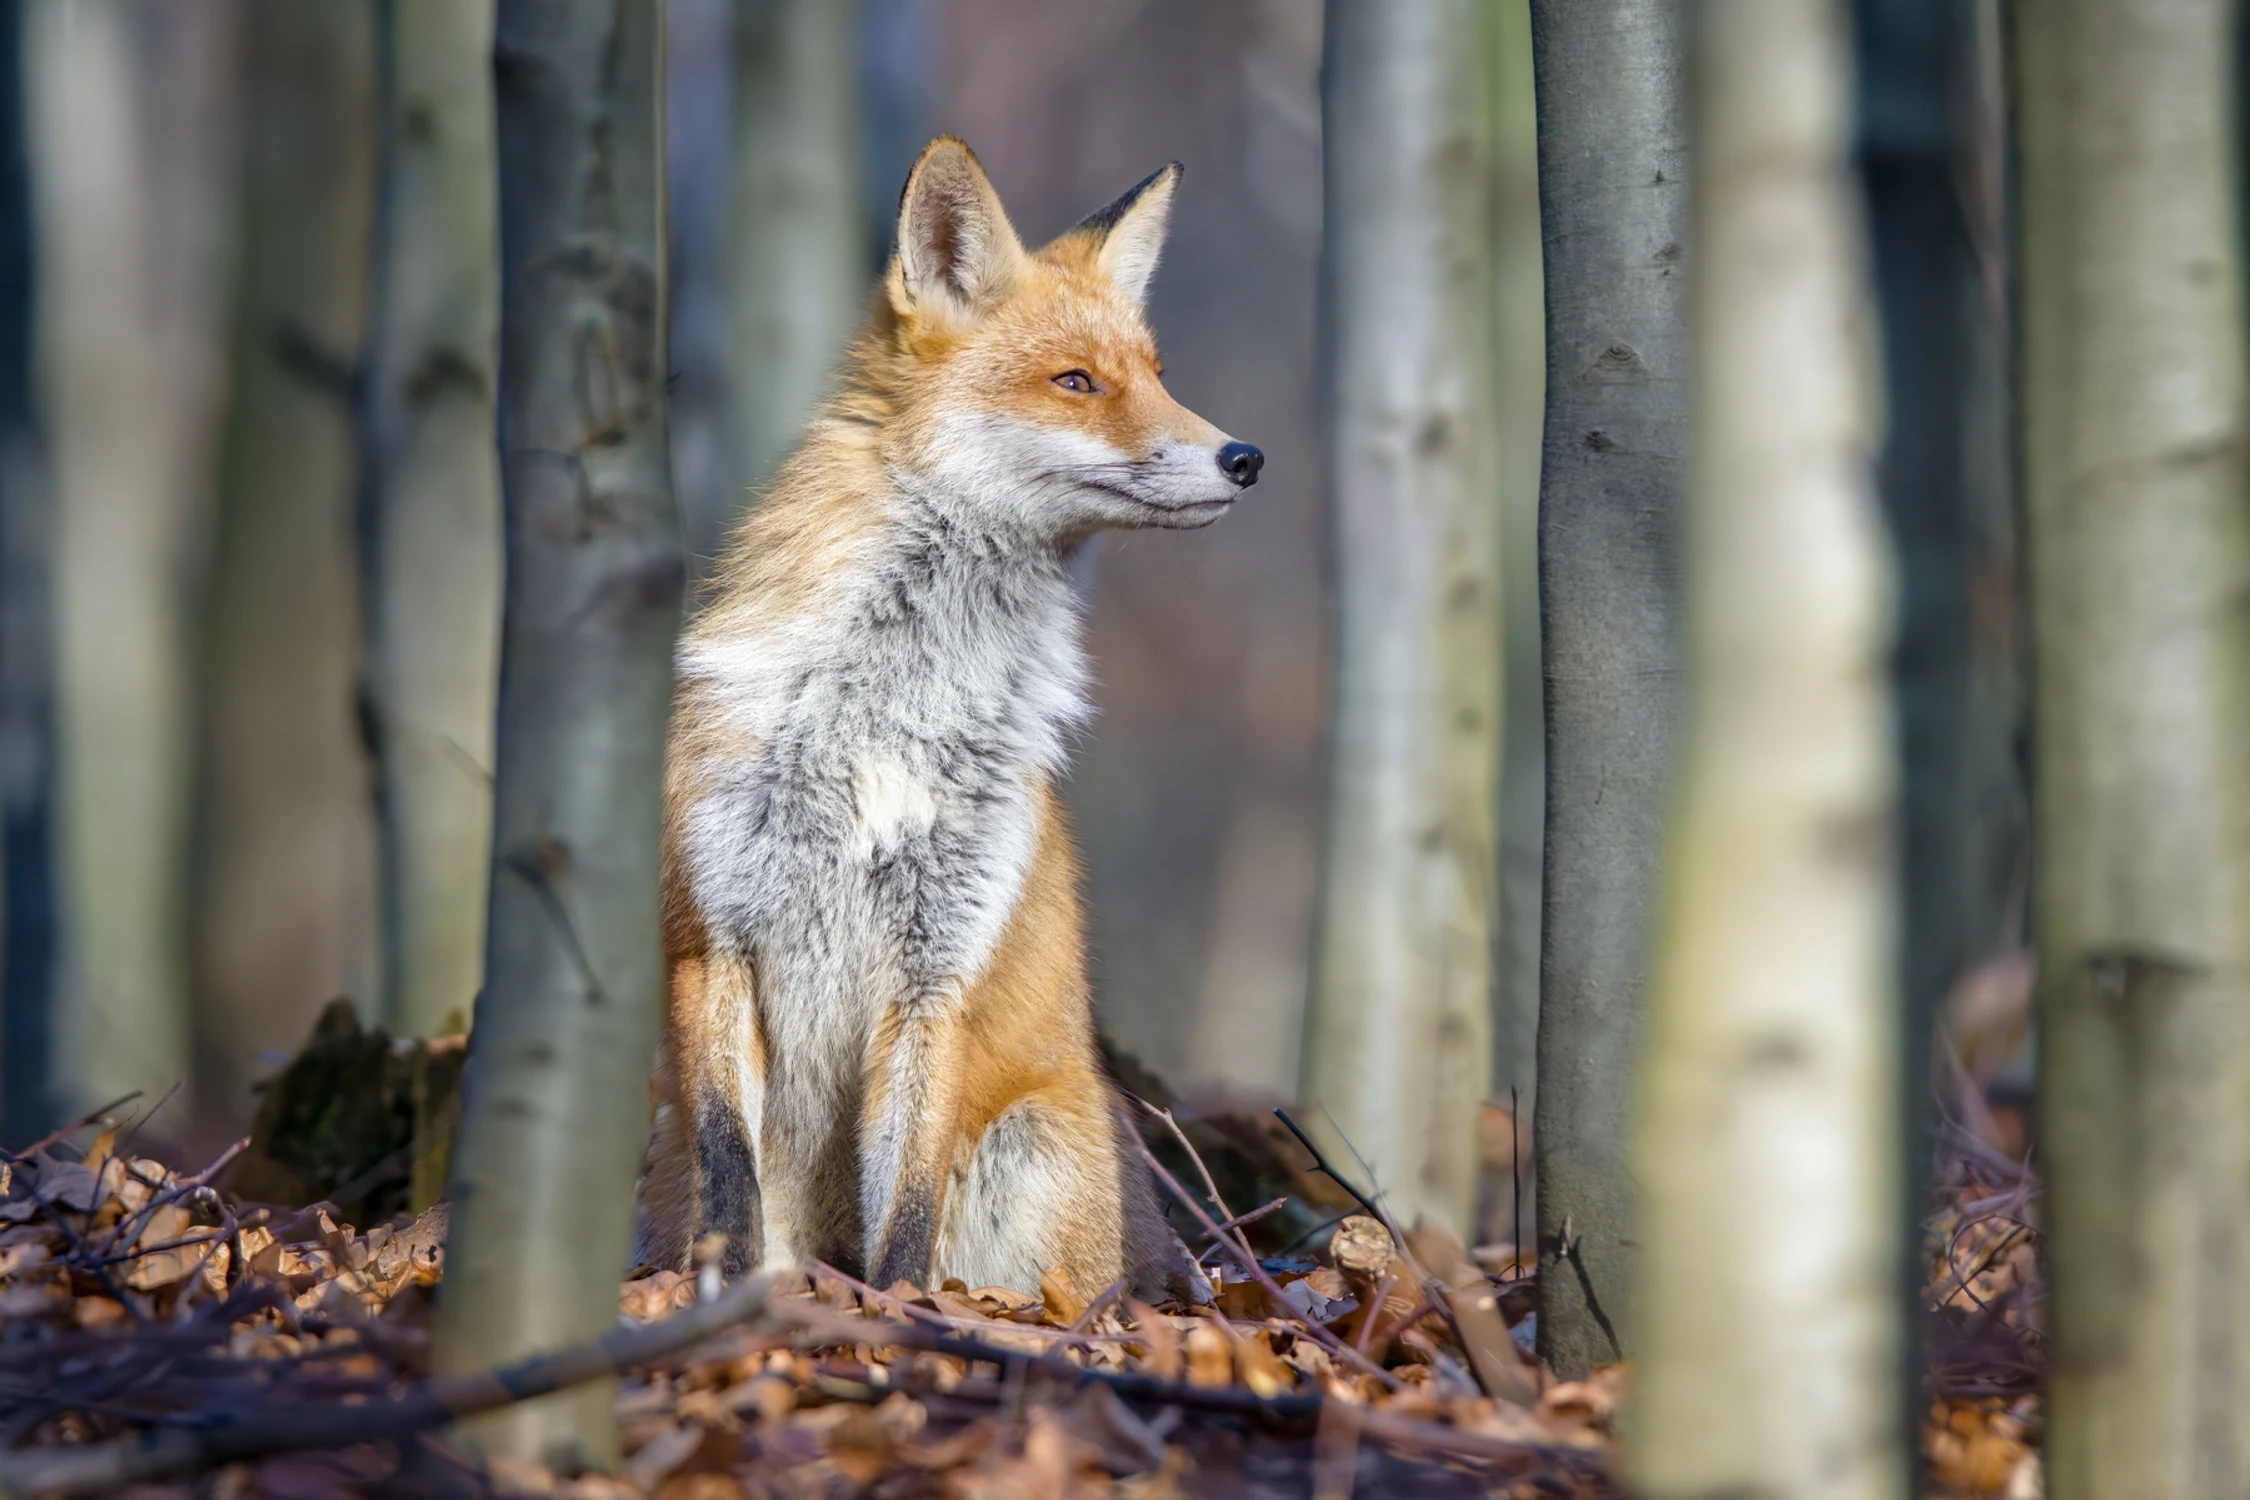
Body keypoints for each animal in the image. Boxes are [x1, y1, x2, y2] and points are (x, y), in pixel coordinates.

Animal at [643, 134, 1260, 1295]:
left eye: (1157, 375)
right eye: (1076, 382)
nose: (1244, 458)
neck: (889, 719)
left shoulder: (941, 976)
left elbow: (908, 1216)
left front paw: (892, 1317)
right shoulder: (714, 939)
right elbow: (732, 1180)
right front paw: (727, 1302)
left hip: (1028, 1150)